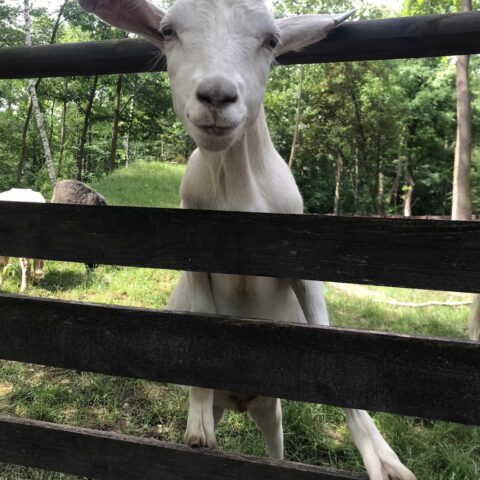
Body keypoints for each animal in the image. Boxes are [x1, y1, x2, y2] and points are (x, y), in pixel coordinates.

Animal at [79, 1, 416, 478]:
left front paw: (383, 459)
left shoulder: (303, 260)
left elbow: (328, 337)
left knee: (276, 450)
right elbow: (202, 315)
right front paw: (198, 427)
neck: (238, 197)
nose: (217, 96)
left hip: (272, 411)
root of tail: (241, 401)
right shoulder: (193, 254)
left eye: (272, 40)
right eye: (168, 31)